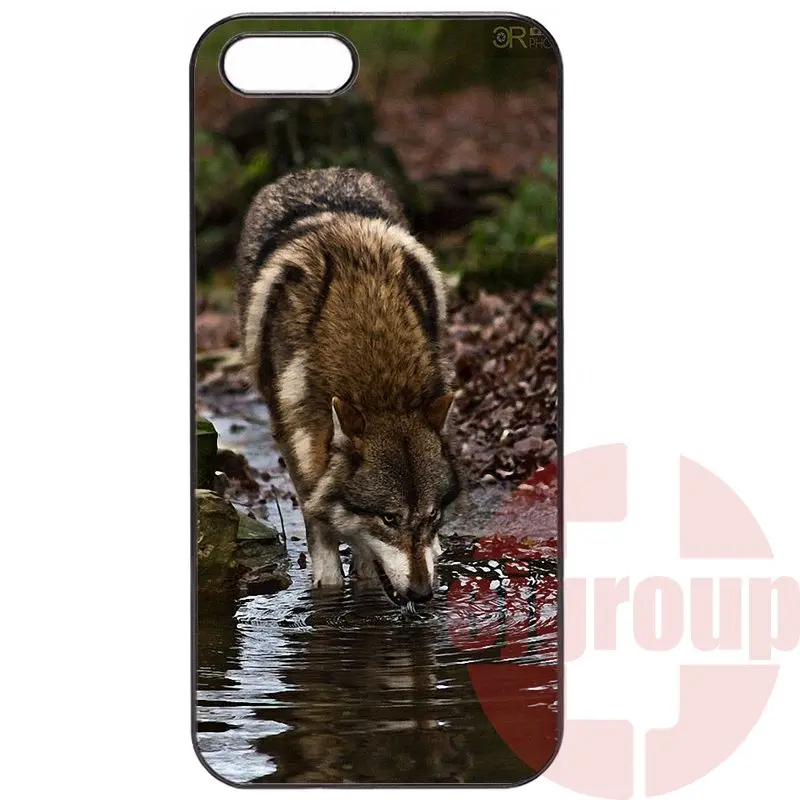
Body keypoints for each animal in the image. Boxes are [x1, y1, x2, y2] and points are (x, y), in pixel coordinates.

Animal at [235, 167, 461, 606]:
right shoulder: (299, 443)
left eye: (432, 515)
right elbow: (321, 529)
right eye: (389, 518)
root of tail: (314, 172)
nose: (424, 594)